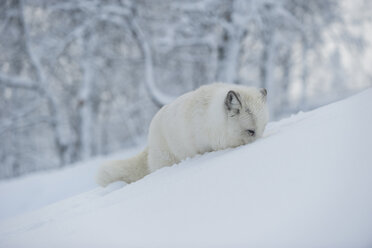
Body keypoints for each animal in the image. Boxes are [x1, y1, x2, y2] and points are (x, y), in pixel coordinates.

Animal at [97, 83, 268, 186]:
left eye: (263, 129)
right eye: (250, 131)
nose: (260, 146)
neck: (211, 121)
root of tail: (149, 142)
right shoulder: (202, 148)